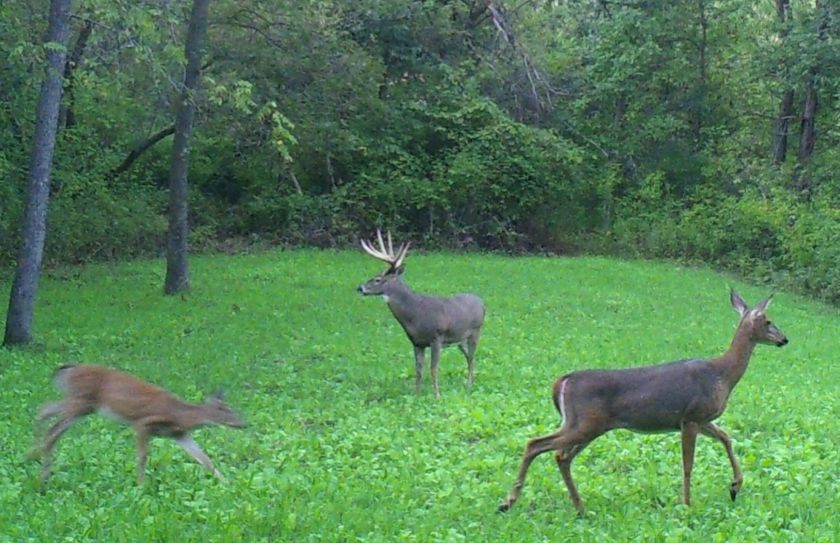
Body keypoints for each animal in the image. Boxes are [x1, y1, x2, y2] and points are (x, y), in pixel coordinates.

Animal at [30, 366, 246, 484]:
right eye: (224, 409)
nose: (244, 423)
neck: (181, 417)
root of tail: (68, 370)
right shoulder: (143, 423)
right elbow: (143, 456)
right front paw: (141, 484)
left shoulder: (179, 435)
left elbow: (205, 460)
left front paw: (226, 482)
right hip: (82, 401)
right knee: (53, 429)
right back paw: (41, 469)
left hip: (81, 404)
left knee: (44, 409)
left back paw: (34, 458)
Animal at [356, 230, 486, 400]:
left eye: (378, 279)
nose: (360, 288)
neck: (414, 315)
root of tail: (482, 303)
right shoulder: (416, 342)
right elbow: (418, 369)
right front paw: (416, 394)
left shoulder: (436, 337)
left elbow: (433, 368)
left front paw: (437, 396)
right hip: (459, 339)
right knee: (469, 357)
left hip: (475, 331)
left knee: (471, 357)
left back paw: (469, 385)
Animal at [498, 292, 788, 516]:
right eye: (768, 321)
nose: (785, 339)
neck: (723, 375)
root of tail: (562, 382)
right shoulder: (691, 417)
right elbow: (688, 464)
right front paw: (687, 504)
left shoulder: (702, 419)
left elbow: (727, 438)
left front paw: (735, 486)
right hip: (586, 424)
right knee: (537, 445)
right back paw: (509, 502)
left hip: (584, 425)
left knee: (560, 456)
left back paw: (578, 509)